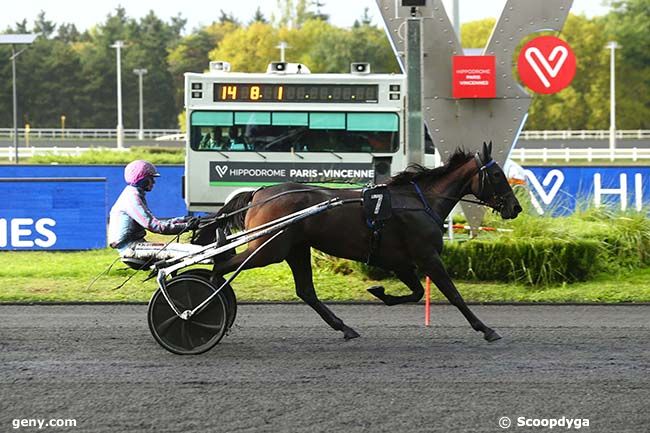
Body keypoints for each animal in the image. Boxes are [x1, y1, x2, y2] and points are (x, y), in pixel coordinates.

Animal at [194, 143, 520, 342]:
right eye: (496, 174)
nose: (515, 207)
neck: (419, 201)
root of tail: (259, 192)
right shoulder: (427, 256)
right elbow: (454, 295)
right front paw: (486, 329)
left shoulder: (401, 262)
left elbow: (416, 293)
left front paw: (381, 293)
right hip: (268, 249)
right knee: (220, 266)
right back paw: (201, 306)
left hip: (295, 248)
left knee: (306, 291)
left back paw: (345, 328)